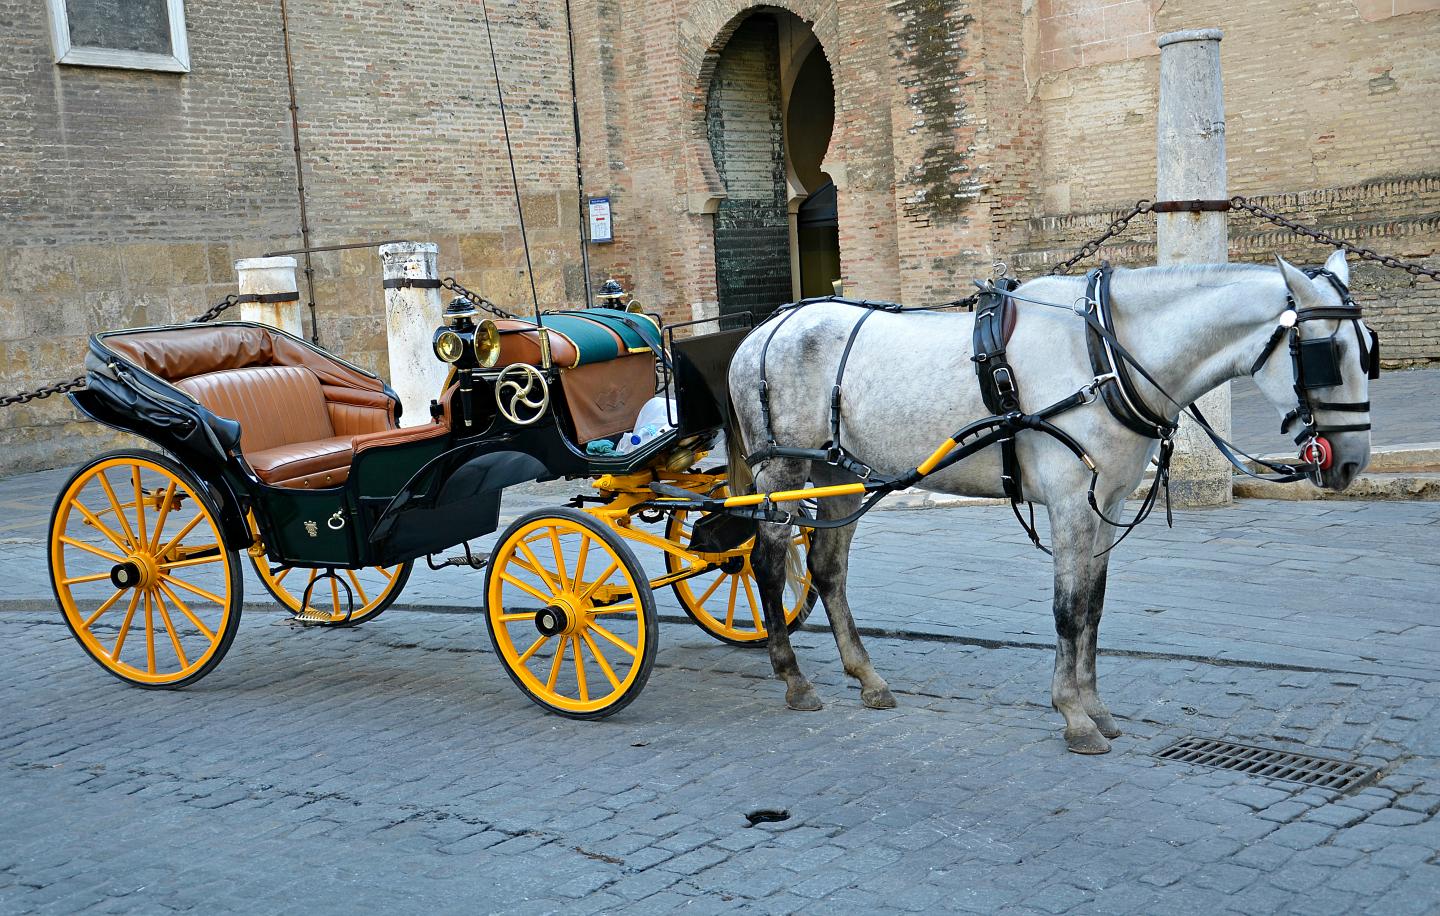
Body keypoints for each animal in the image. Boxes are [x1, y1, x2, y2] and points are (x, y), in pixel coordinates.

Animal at [725, 251, 1374, 754]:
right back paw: (793, 678)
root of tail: (767, 328)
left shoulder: (1107, 501)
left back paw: (867, 678)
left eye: (1368, 349)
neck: (1105, 353)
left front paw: (1096, 707)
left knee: (827, 569)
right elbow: (1068, 609)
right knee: (767, 562)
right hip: (782, 471)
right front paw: (1074, 714)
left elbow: (1093, 607)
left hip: (836, 474)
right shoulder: (1070, 503)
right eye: (1329, 355)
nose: (1351, 461)